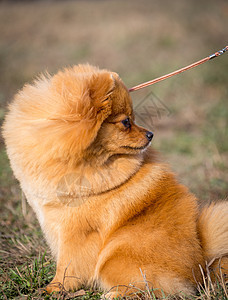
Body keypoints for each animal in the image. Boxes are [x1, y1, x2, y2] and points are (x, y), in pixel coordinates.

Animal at [2, 63, 228, 298]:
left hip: (116, 254)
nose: (151, 134)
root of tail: (200, 264)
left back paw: (112, 294)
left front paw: (55, 288)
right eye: (126, 122)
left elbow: (67, 266)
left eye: (132, 119)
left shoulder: (77, 233)